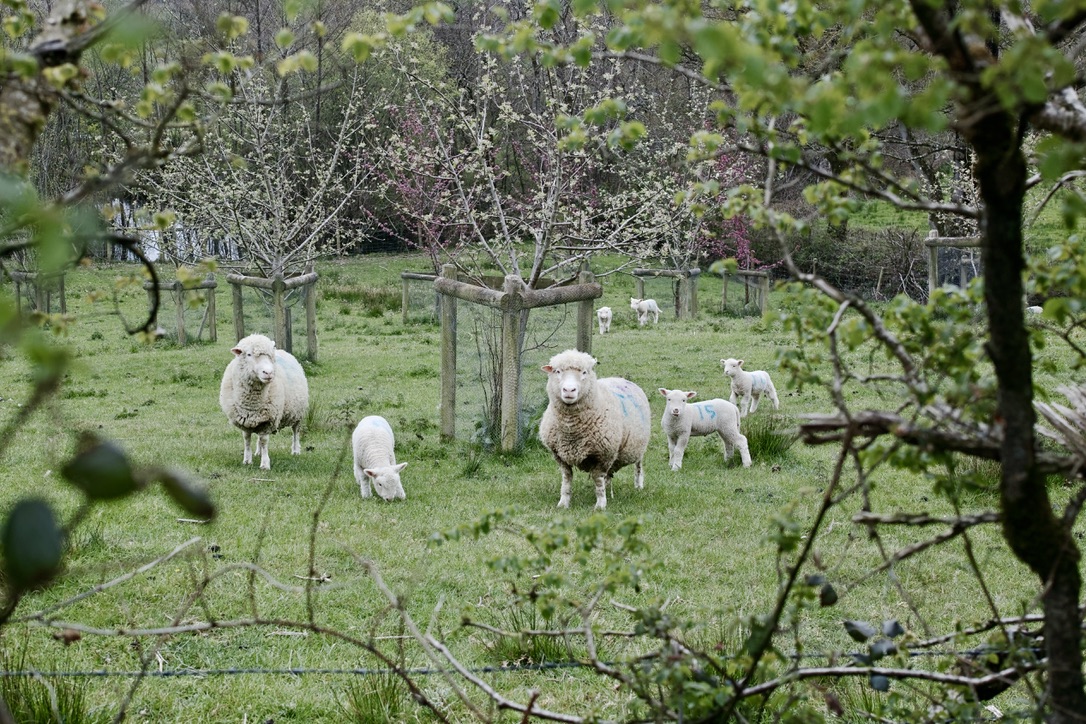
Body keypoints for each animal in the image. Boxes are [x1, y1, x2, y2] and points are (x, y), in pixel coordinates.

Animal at [218, 334, 308, 471]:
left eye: (270, 356)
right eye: (249, 354)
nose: (268, 372)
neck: (252, 402)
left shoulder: (268, 419)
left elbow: (264, 441)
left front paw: (265, 464)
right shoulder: (245, 420)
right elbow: (247, 439)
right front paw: (247, 460)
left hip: (298, 413)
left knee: (295, 431)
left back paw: (295, 450)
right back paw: (258, 452)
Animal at [536, 351, 647, 510]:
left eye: (584, 372)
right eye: (557, 371)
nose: (569, 390)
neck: (571, 430)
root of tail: (620, 378)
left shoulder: (603, 455)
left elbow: (597, 479)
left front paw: (600, 505)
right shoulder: (559, 454)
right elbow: (567, 478)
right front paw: (563, 502)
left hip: (638, 448)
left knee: (638, 466)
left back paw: (639, 485)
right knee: (609, 475)